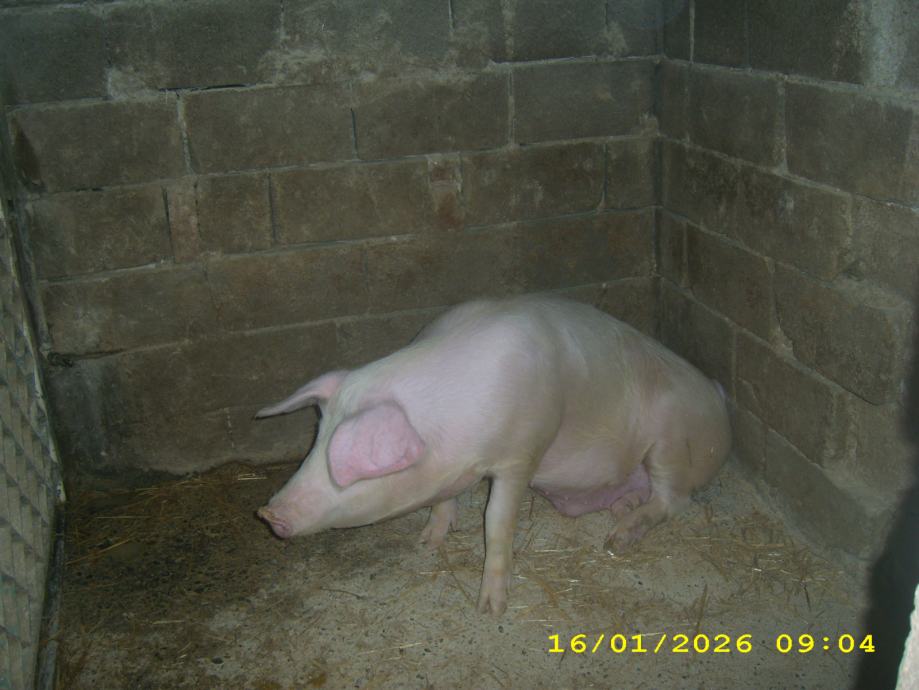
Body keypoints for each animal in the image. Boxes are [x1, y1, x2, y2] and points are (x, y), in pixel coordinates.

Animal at [255, 295, 731, 615]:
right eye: (316, 442)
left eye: (348, 468)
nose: (268, 513)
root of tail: (719, 400)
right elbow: (443, 500)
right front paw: (426, 542)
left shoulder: (522, 453)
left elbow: (497, 522)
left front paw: (491, 608)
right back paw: (621, 509)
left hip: (673, 440)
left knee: (674, 500)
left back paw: (617, 538)